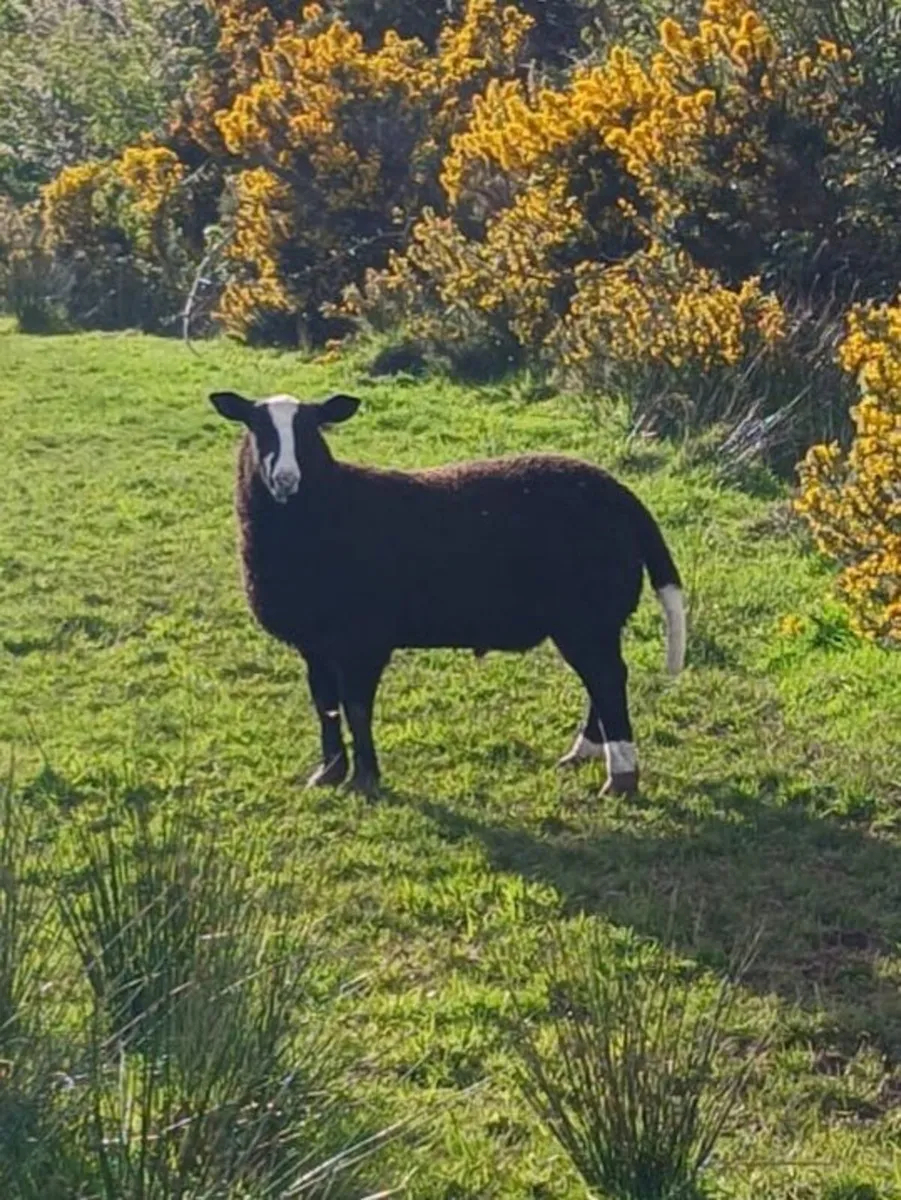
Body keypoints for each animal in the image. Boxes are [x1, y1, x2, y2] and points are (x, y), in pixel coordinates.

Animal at [210, 389, 686, 798]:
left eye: (312, 430)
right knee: (600, 681)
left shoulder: (362, 638)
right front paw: (328, 773)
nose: (285, 478)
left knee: (607, 679)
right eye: (258, 428)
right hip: (589, 619)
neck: (327, 511)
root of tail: (622, 497)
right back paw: (584, 753)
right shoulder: (314, 641)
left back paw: (620, 778)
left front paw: (365, 778)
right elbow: (324, 704)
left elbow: (357, 707)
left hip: (588, 614)